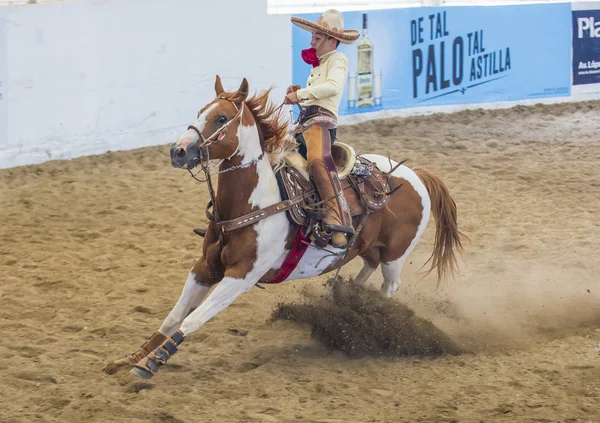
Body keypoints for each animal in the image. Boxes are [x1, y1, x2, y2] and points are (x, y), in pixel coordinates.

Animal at [105, 76, 466, 380]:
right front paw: (131, 356)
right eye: (199, 112)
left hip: (395, 255)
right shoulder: (204, 267)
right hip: (368, 247)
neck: (253, 203)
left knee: (389, 286)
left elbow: (193, 319)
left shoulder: (241, 276)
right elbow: (174, 315)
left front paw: (153, 361)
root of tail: (415, 174)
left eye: (221, 119)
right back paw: (346, 295)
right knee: (367, 266)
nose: (178, 151)